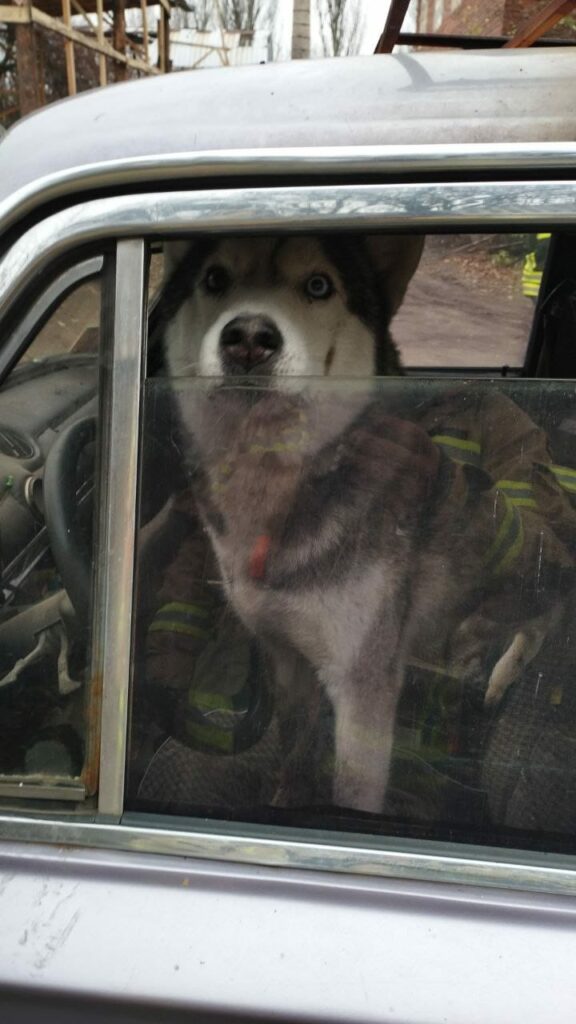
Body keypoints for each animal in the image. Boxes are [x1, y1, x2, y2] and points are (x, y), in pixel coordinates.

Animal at [158, 234, 553, 815]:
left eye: (319, 285)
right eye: (214, 279)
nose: (248, 339)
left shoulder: (363, 689)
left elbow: (352, 794)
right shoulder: (288, 657)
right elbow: (295, 749)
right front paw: (289, 799)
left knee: (542, 615)